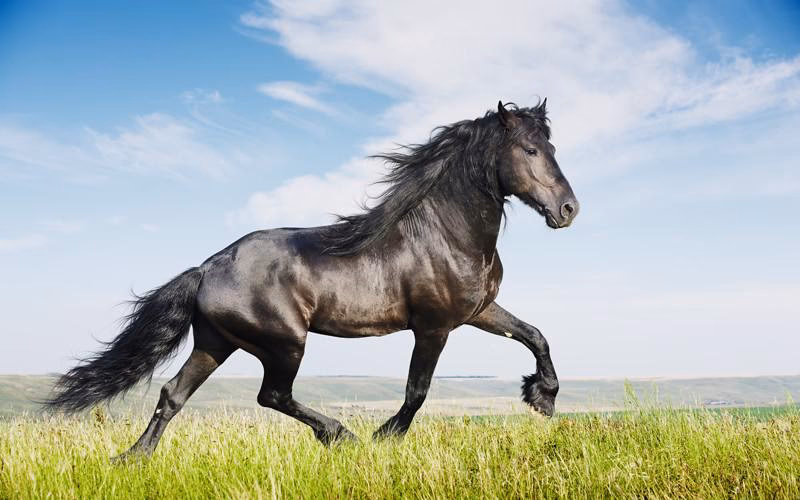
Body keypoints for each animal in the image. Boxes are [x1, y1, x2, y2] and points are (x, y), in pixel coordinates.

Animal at [45, 100, 579, 458]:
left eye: (552, 146)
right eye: (530, 149)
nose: (568, 209)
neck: (444, 233)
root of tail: (206, 269)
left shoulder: (478, 311)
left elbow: (535, 335)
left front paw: (542, 398)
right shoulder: (434, 326)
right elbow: (417, 390)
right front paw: (385, 437)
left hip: (216, 342)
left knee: (173, 394)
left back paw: (132, 459)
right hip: (284, 342)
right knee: (272, 395)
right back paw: (340, 435)